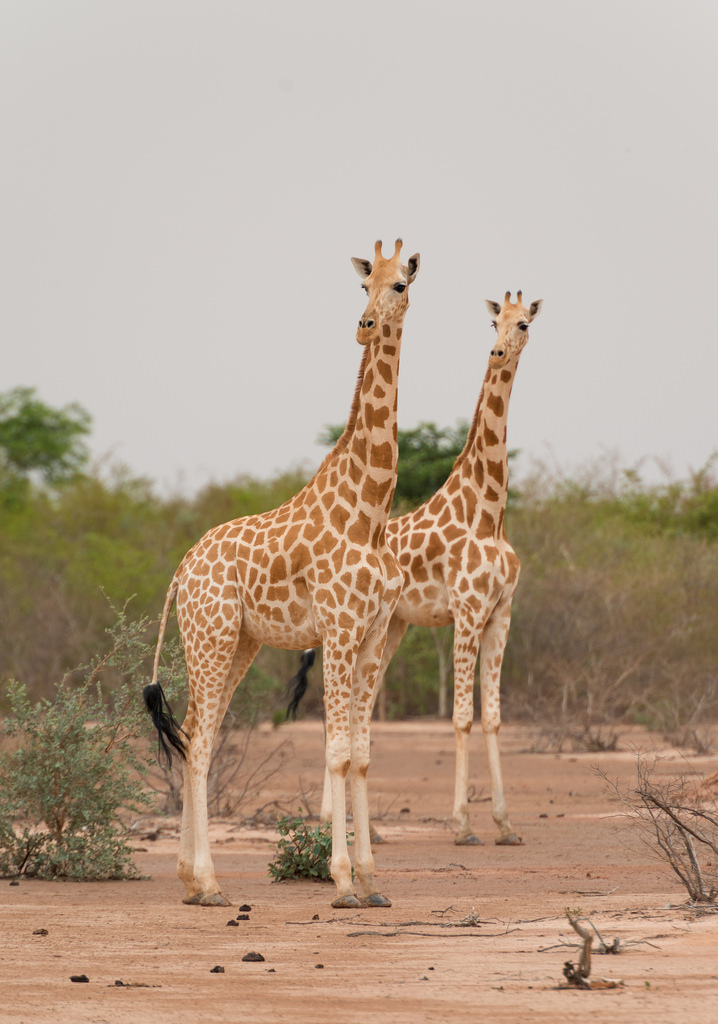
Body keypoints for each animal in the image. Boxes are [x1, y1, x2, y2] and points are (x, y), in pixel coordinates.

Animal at [142, 237, 417, 905]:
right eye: (363, 284)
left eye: (401, 284)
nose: (364, 325)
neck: (373, 510)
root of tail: (182, 569)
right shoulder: (339, 630)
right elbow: (337, 753)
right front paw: (341, 881)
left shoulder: (373, 634)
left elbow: (361, 754)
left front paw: (372, 882)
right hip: (211, 638)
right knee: (198, 742)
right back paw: (209, 881)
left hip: (237, 642)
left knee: (198, 733)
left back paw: (192, 880)